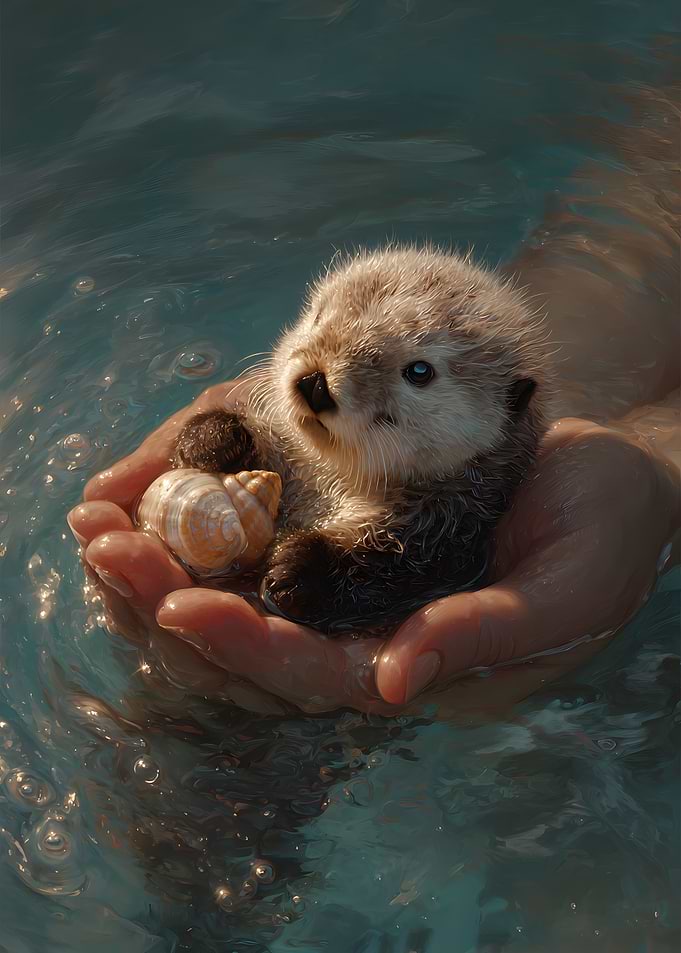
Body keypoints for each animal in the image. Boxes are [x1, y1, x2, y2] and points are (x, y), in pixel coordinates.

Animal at [172, 246, 550, 632]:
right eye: (319, 316)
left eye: (420, 371)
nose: (315, 383)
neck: (335, 479)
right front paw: (211, 439)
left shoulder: (450, 532)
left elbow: (389, 571)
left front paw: (296, 570)